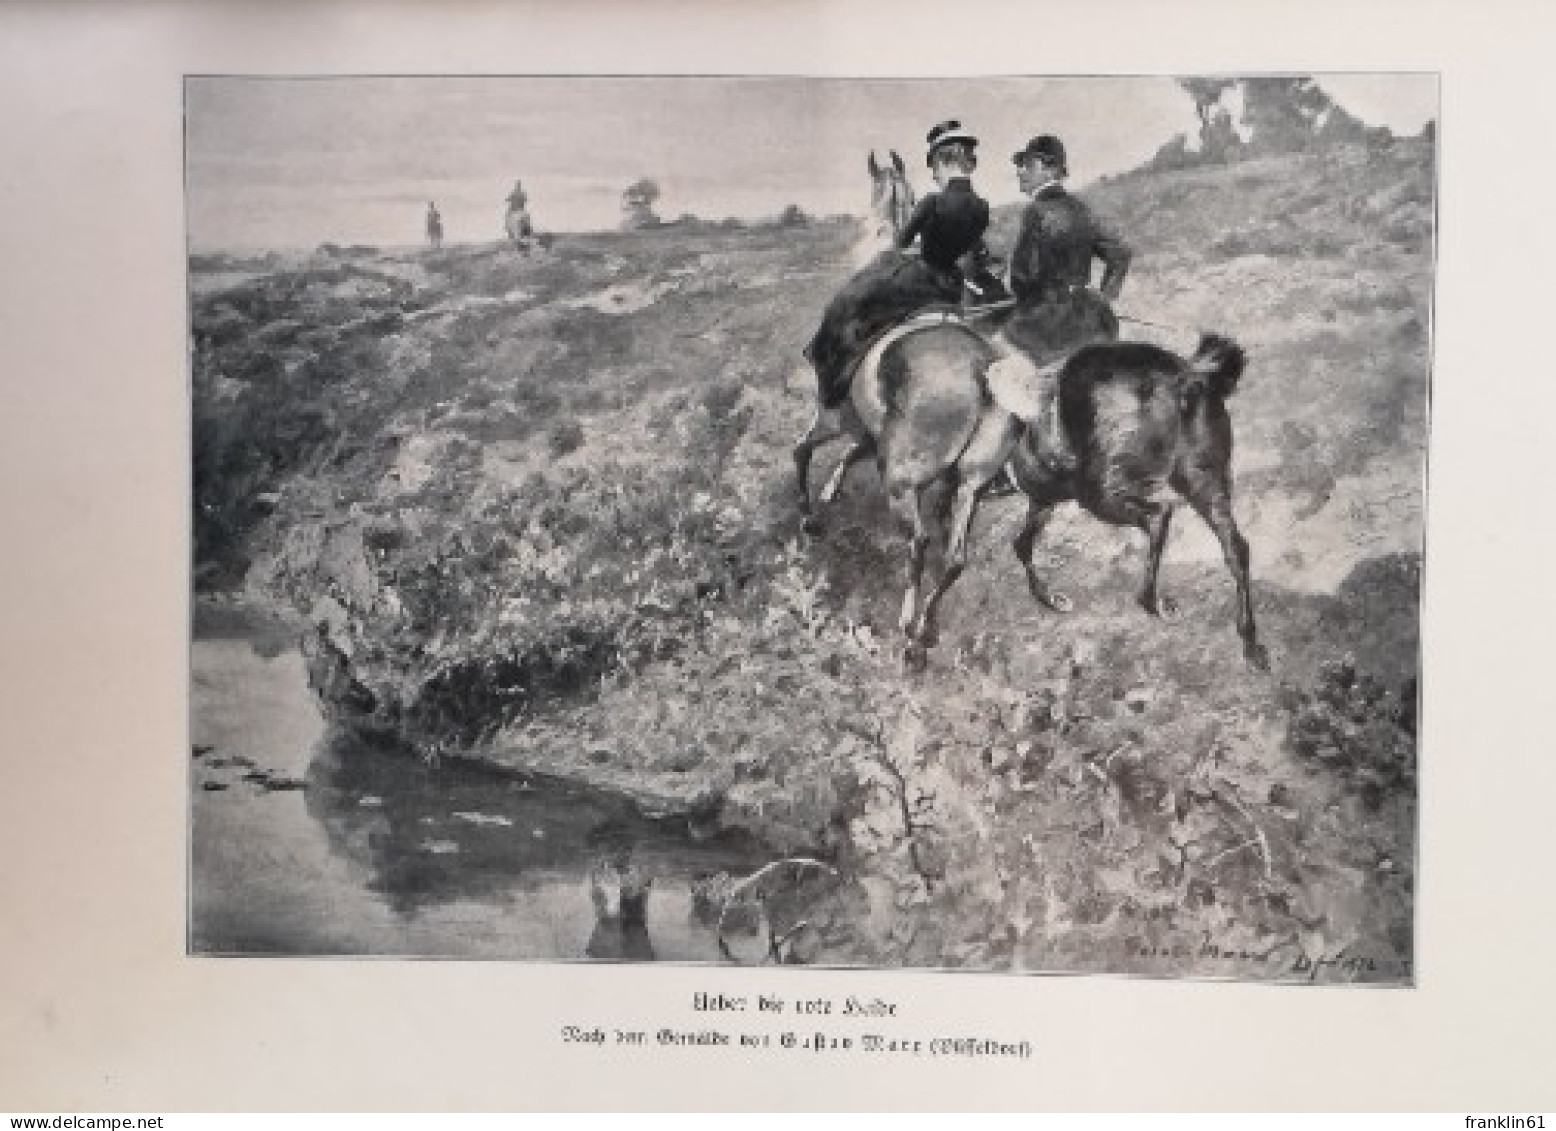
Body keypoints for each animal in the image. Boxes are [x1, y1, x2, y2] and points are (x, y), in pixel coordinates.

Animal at [1008, 334, 1263, 672]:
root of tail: (1181, 379)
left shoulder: (1058, 494)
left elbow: (1022, 544)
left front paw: (1049, 597)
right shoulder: (1044, 501)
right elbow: (1022, 543)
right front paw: (1049, 596)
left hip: (1101, 489)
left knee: (1158, 517)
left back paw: (1155, 603)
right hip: (1203, 478)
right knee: (1235, 547)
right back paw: (1249, 640)